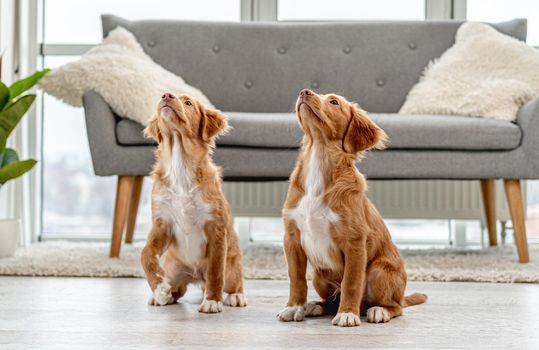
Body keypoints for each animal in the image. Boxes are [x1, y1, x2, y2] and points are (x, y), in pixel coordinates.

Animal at [141, 91, 247, 314]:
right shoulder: (162, 224)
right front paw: (159, 288)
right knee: (177, 291)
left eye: (188, 102)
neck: (180, 166)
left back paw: (235, 296)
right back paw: (162, 295)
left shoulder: (215, 227)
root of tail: (196, 276)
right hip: (174, 271)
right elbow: (145, 253)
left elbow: (216, 269)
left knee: (233, 279)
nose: (166, 95)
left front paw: (212, 301)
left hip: (232, 265)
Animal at [278, 89, 426, 326]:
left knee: (395, 307)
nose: (304, 92)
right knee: (331, 300)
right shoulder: (292, 237)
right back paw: (316, 306)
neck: (319, 157)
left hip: (379, 272)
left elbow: (351, 282)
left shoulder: (355, 242)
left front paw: (347, 313)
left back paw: (379, 311)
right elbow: (296, 279)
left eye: (334, 102)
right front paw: (294, 307)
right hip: (320, 274)